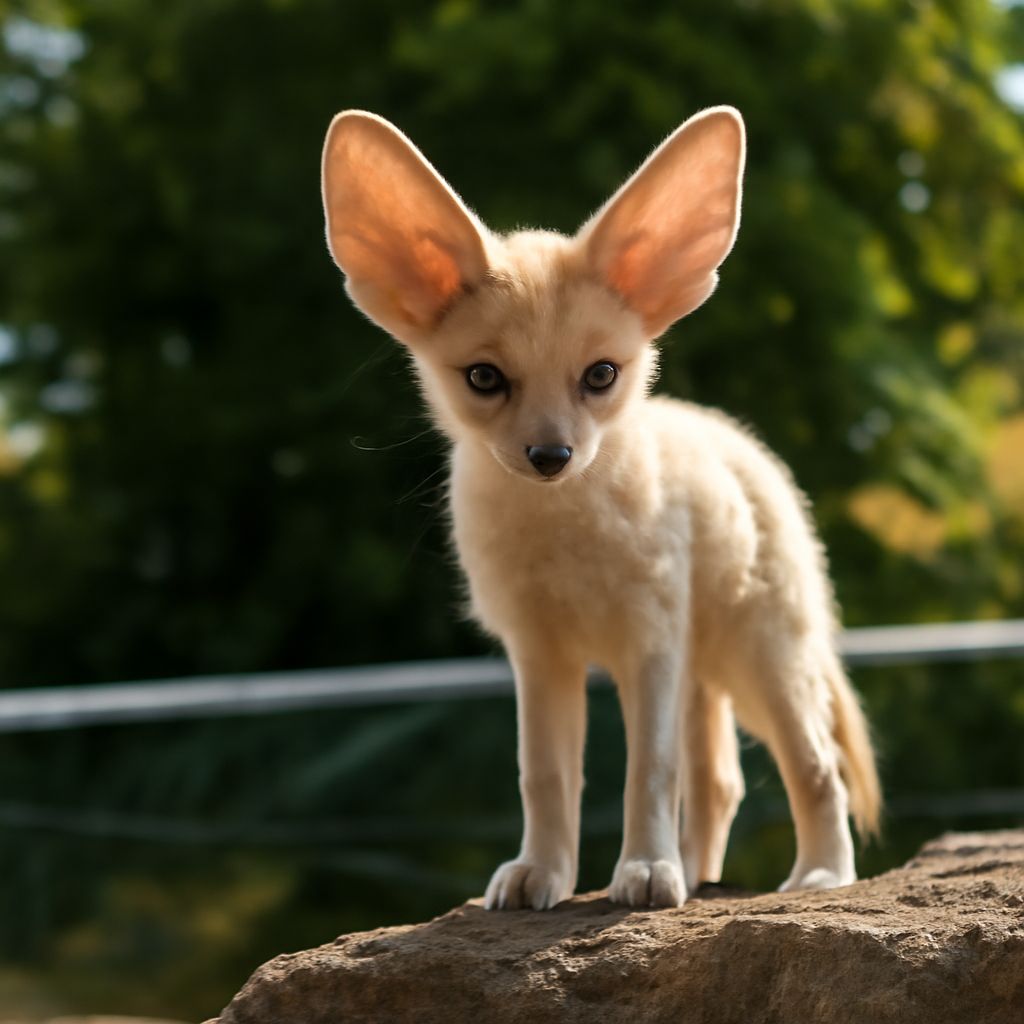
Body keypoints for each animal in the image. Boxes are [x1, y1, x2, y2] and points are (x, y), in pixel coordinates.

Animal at [320, 106, 881, 910]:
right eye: (484, 378)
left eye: (601, 375)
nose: (551, 457)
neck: (563, 535)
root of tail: (741, 443)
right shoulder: (538, 650)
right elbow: (546, 774)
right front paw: (541, 874)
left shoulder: (649, 640)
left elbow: (648, 770)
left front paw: (644, 871)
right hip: (706, 672)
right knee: (720, 781)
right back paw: (700, 875)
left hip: (762, 655)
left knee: (814, 764)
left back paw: (820, 875)